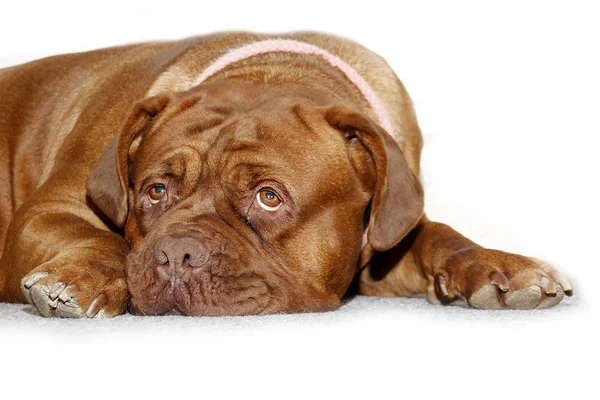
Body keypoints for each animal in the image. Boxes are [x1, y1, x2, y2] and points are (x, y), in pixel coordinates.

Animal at [0, 32, 572, 318]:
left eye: (269, 197)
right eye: (156, 191)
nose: (177, 253)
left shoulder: (384, 244)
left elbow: (438, 235)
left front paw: (497, 266)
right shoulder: (50, 210)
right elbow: (108, 241)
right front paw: (80, 278)